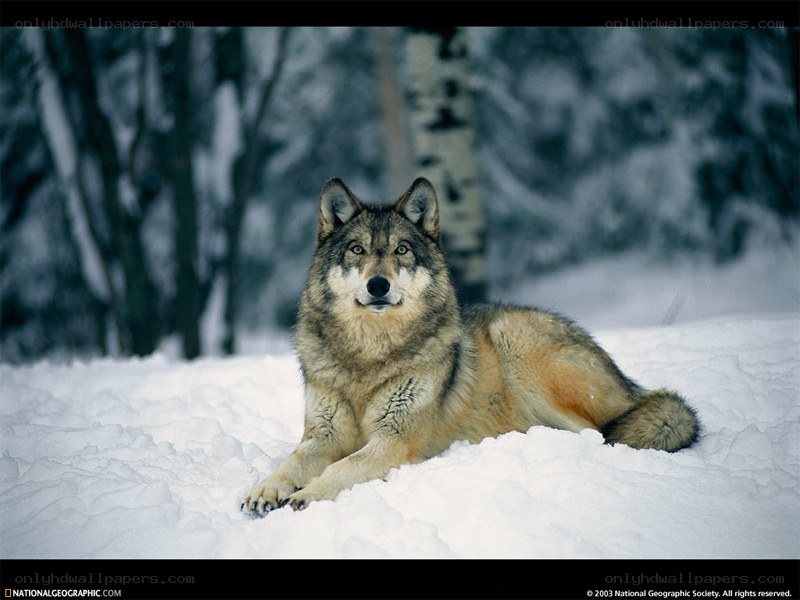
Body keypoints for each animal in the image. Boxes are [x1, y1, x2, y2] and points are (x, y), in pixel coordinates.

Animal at [241, 177, 700, 515]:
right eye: (358, 250)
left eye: (401, 250)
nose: (378, 285)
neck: (369, 355)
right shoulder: (323, 435)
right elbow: (291, 462)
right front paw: (265, 490)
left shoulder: (393, 440)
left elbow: (342, 467)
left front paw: (305, 495)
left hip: (517, 344)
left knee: (598, 433)